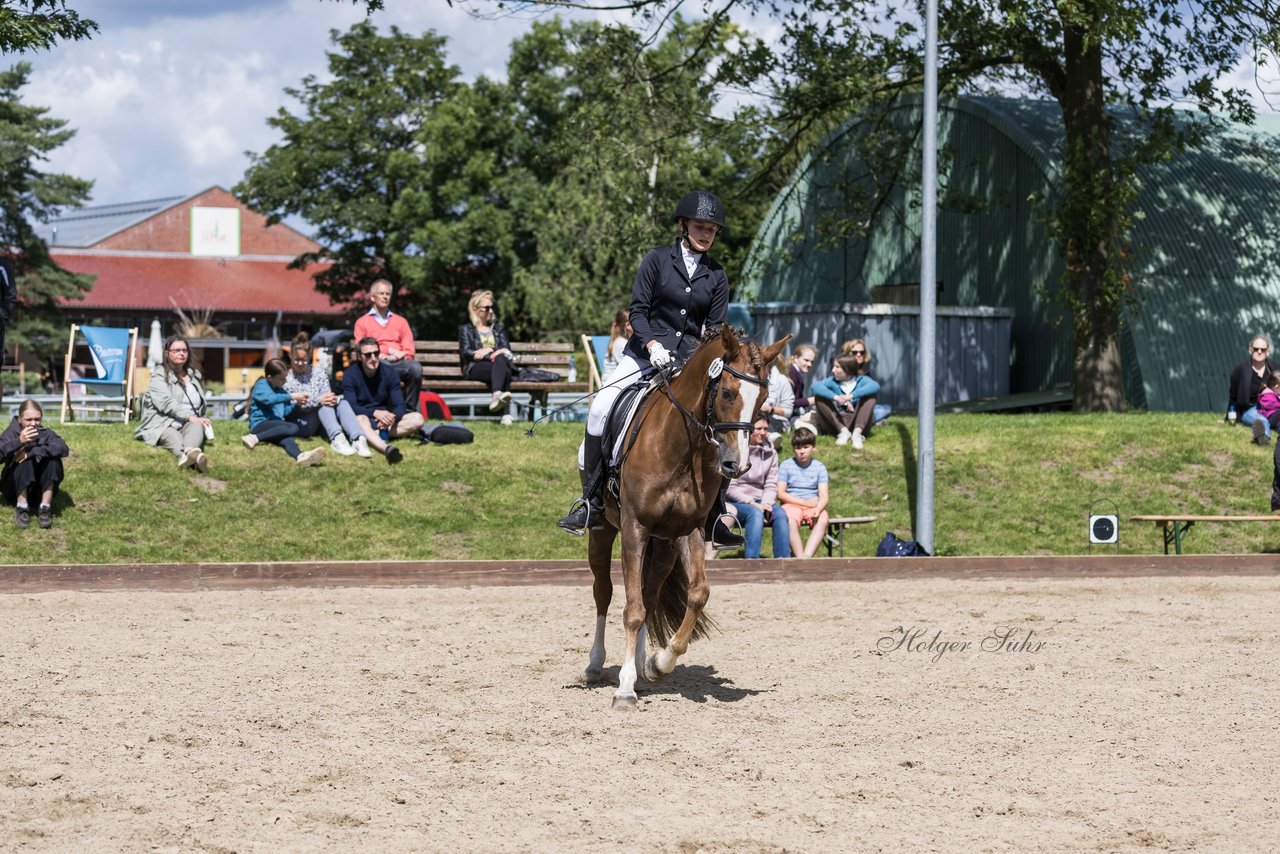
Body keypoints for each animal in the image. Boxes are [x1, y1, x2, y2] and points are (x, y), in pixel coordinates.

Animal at [583, 323, 788, 711]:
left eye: (763, 398)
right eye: (727, 392)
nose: (737, 465)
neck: (681, 446)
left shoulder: (688, 529)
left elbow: (697, 594)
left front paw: (658, 663)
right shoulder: (634, 527)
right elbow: (630, 609)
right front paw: (624, 691)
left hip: (663, 545)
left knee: (648, 596)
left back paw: (640, 666)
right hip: (603, 532)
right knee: (604, 591)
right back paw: (595, 665)